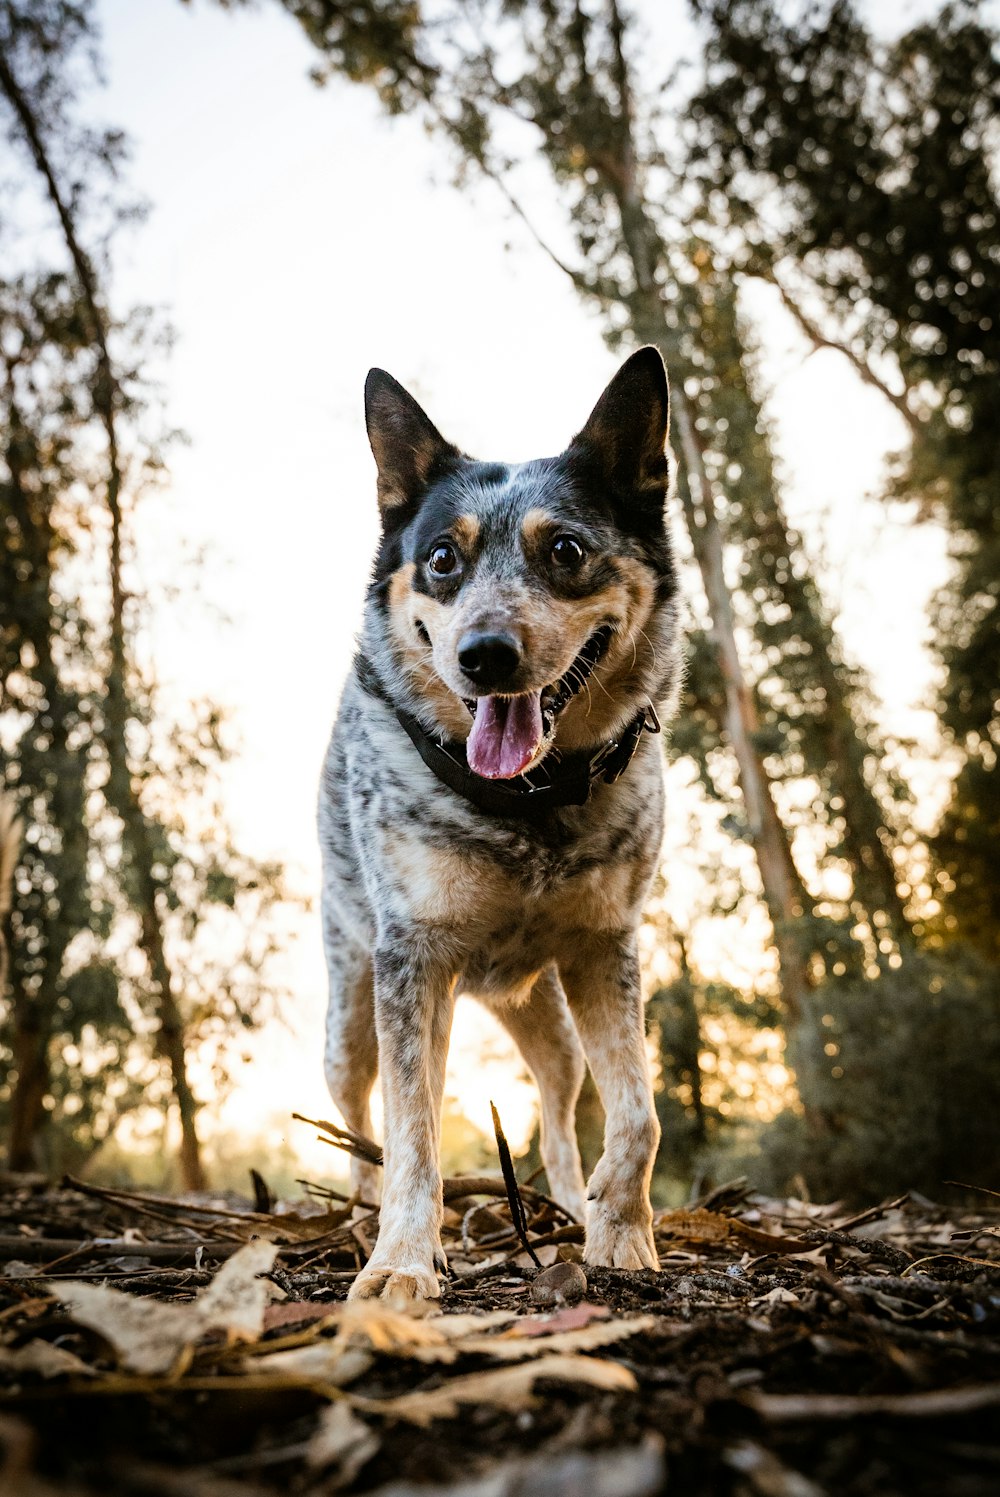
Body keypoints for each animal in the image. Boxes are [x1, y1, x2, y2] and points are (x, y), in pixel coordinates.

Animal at [318, 344, 679, 1305]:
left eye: (567, 550)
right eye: (444, 557)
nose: (484, 656)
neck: (527, 805)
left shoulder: (604, 947)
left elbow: (638, 1111)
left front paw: (621, 1229)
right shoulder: (414, 961)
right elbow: (413, 1135)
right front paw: (401, 1261)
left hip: (547, 1018)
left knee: (558, 1108)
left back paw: (563, 1204)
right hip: (350, 1010)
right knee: (357, 1117)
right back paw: (359, 1212)